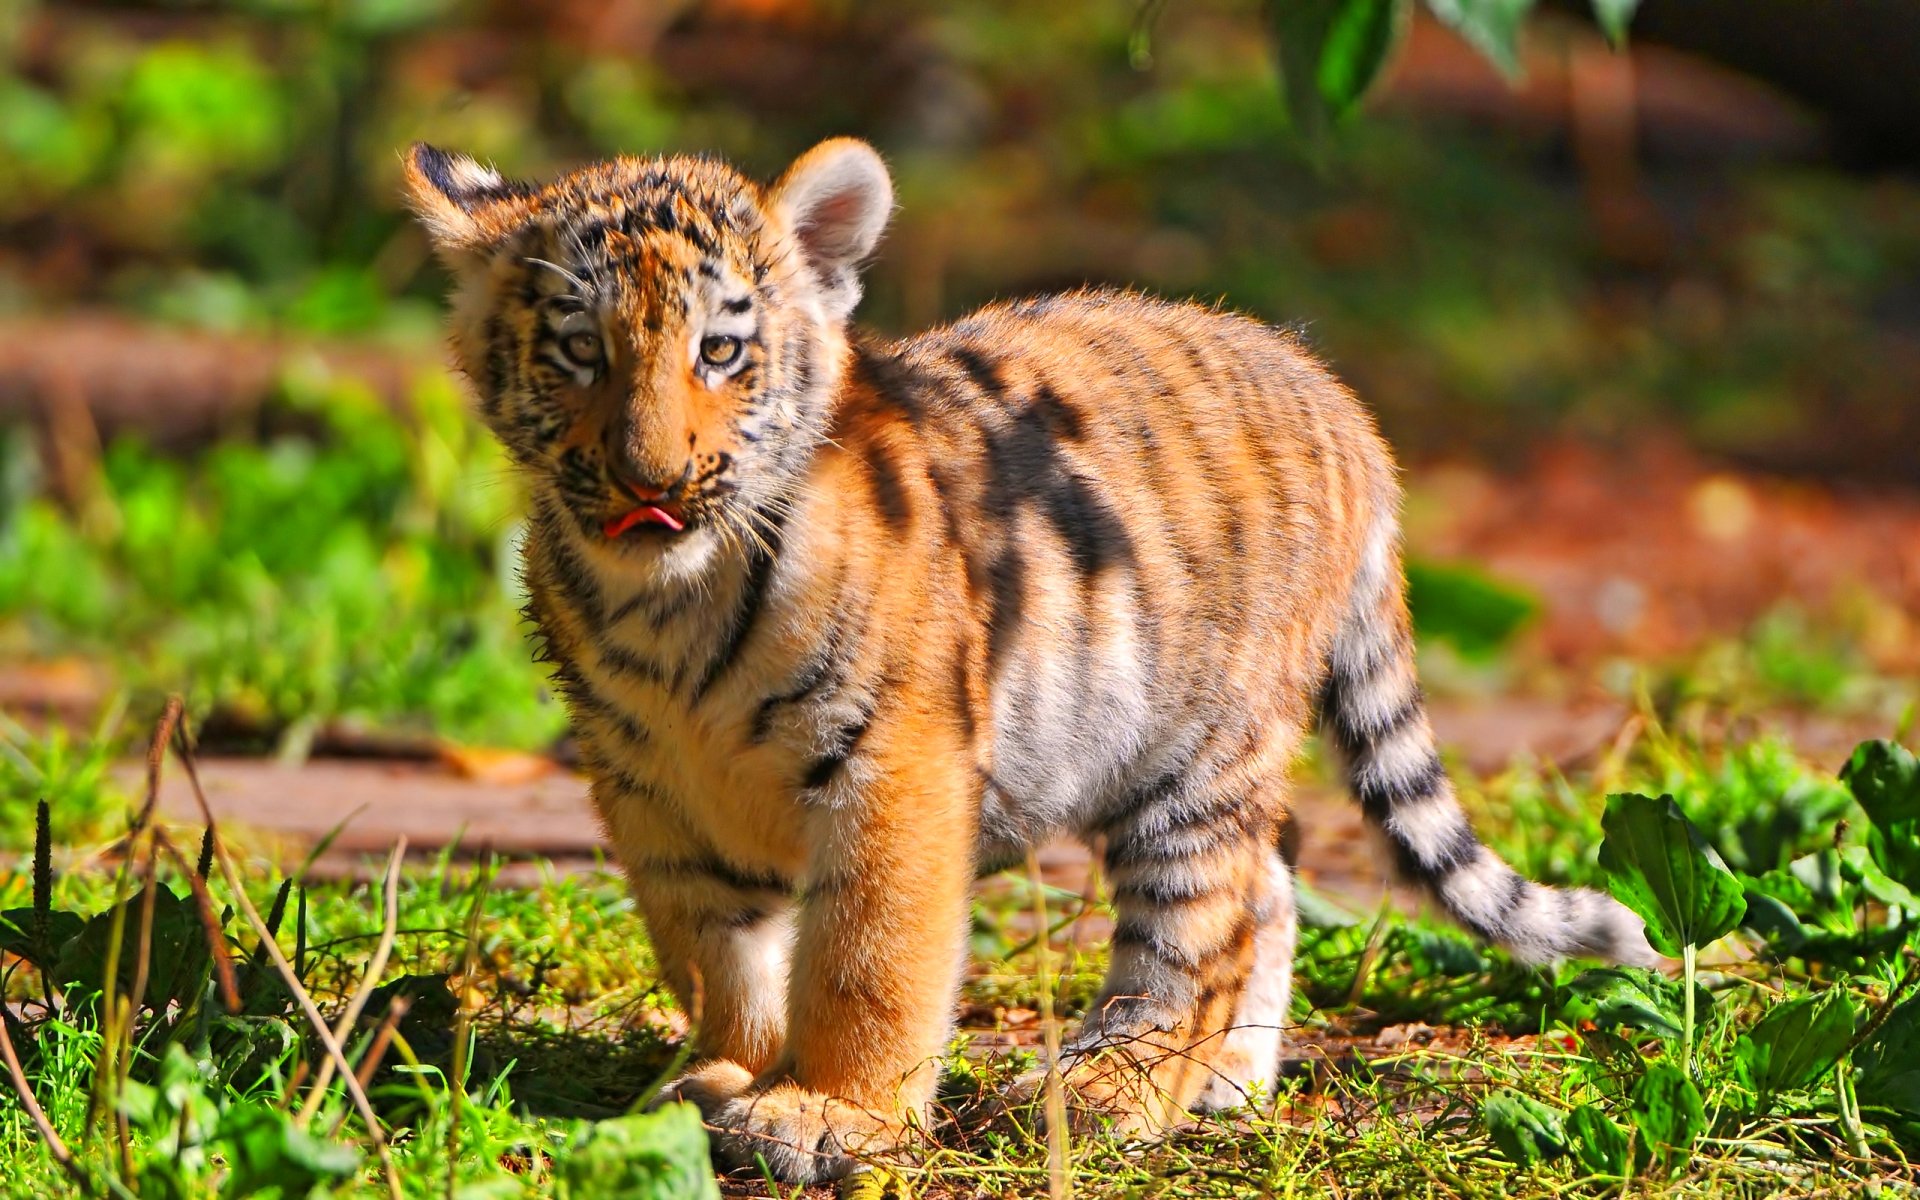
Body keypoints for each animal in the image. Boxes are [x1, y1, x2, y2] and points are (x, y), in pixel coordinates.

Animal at [402, 136, 1656, 1183]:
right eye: (580, 352)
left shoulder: (894, 763)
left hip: (1196, 754)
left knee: (1203, 925)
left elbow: (867, 955)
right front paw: (717, 1076)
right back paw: (1227, 1084)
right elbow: (713, 948)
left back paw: (1117, 1089)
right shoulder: (650, 787)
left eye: (722, 351)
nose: (649, 481)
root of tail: (1340, 399)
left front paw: (830, 1113)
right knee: (1275, 878)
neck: (667, 603)